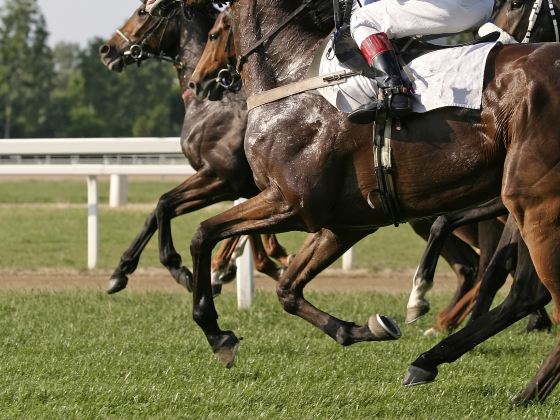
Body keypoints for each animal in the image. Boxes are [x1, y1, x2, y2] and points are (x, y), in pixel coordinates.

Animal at [100, 0, 294, 296]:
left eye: (142, 12)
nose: (107, 49)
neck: (211, 105)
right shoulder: (236, 186)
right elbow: (158, 212)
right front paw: (120, 271)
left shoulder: (221, 178)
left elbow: (164, 204)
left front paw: (181, 269)